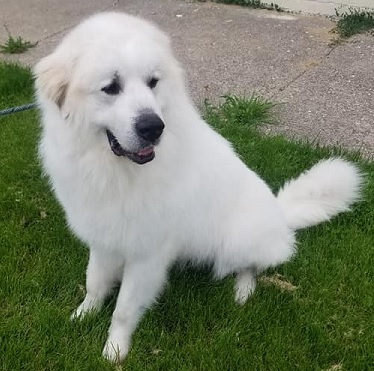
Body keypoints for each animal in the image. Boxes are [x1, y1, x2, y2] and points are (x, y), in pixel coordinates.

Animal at [34, 11, 362, 364]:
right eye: (111, 87)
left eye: (153, 82)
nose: (153, 127)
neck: (115, 170)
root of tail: (281, 213)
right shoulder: (103, 238)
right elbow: (94, 282)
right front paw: (83, 315)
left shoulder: (147, 255)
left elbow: (124, 309)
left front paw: (115, 349)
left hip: (237, 240)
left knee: (252, 266)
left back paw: (242, 291)